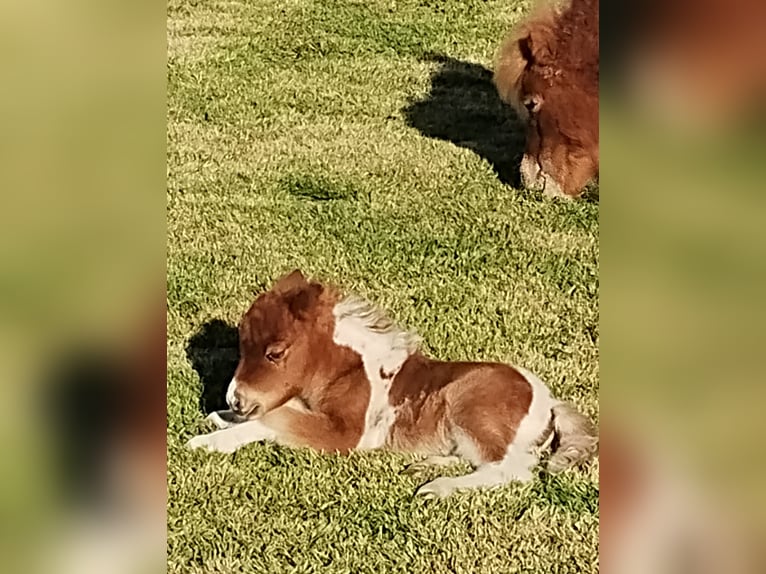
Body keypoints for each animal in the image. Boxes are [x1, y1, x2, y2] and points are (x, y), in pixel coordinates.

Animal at [187, 270, 598, 497]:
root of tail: (550, 402)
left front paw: (208, 441)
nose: (235, 399)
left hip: (468, 406)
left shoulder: (345, 435)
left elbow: (275, 421)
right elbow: (280, 411)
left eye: (275, 353)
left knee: (511, 471)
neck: (349, 370)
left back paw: (436, 489)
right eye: (242, 347)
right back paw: (426, 465)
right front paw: (220, 417)